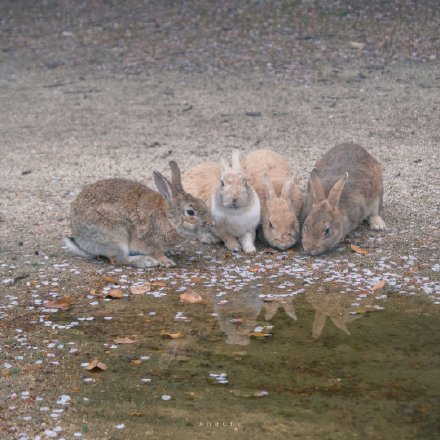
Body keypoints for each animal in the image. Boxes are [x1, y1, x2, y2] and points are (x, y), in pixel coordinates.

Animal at [62, 160, 218, 266]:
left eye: (201, 202)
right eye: (191, 212)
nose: (212, 224)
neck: (167, 217)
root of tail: (80, 240)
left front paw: (171, 252)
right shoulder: (150, 241)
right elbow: (157, 252)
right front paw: (166, 261)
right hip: (116, 236)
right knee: (119, 259)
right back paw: (146, 262)